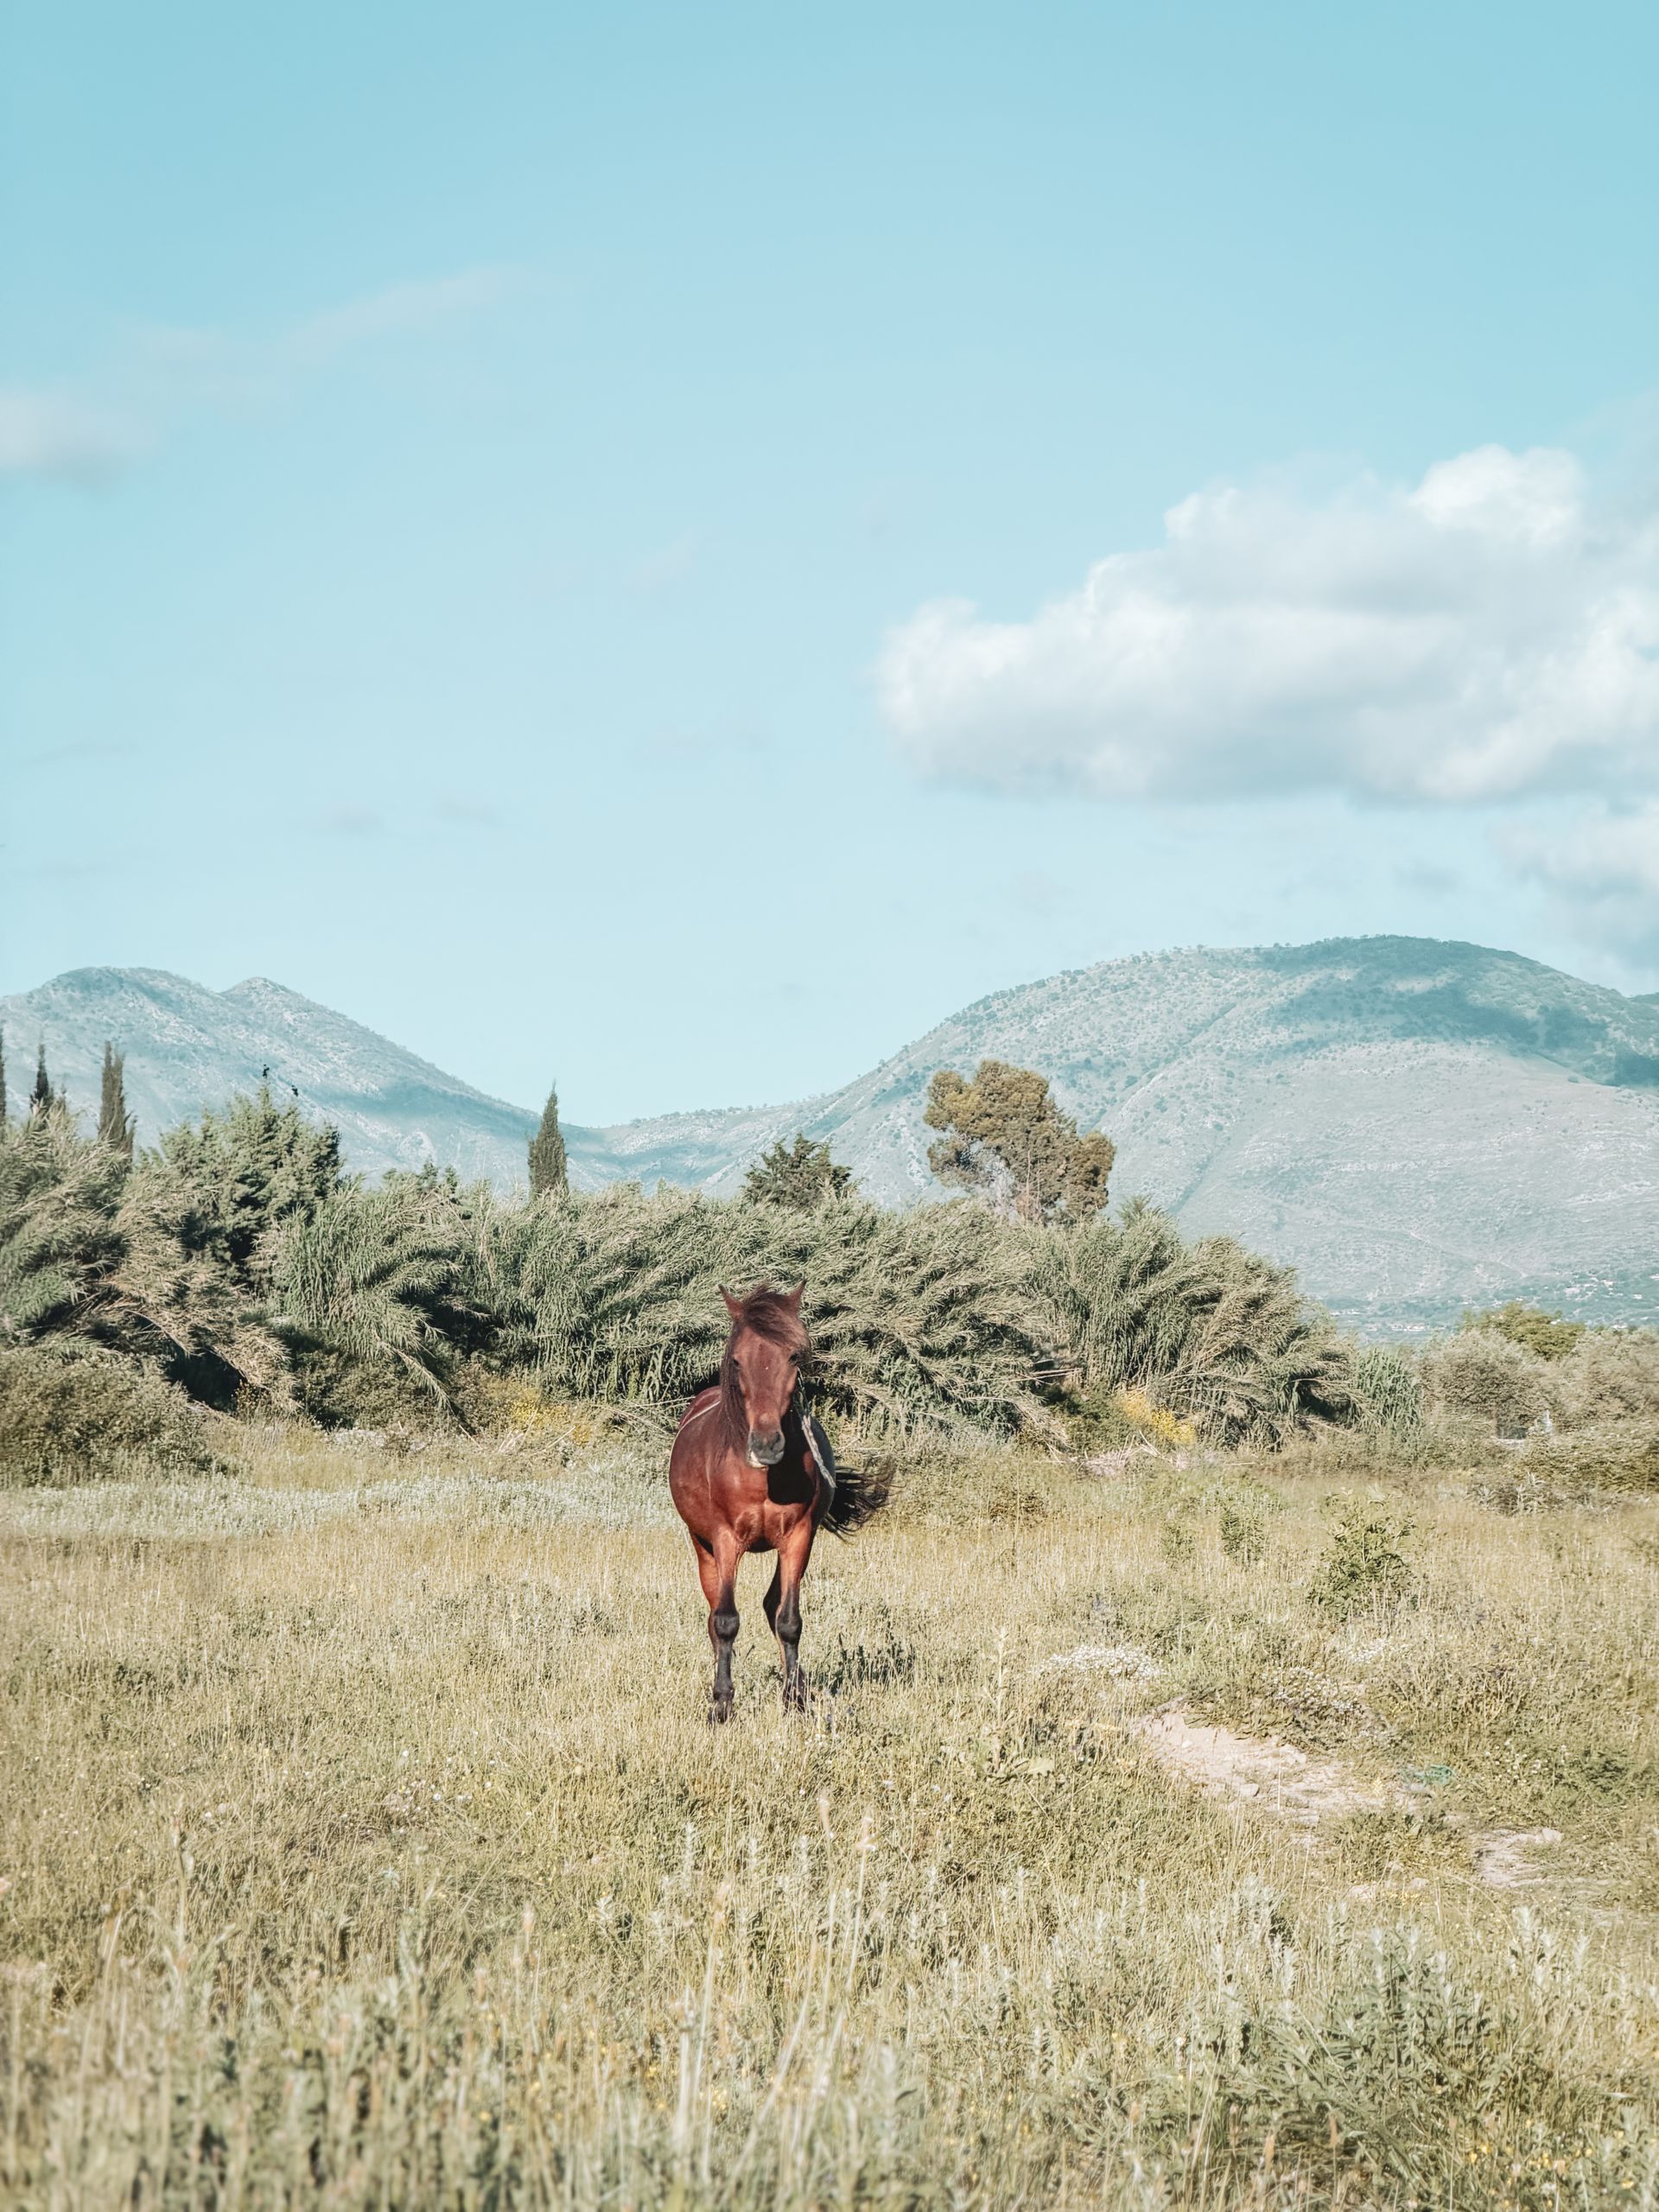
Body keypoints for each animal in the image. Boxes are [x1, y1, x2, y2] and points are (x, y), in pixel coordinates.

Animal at [669, 1282, 865, 1722]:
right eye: (738, 1360)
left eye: (793, 1355)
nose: (766, 1444)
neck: (762, 1478)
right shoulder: (726, 1540)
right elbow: (726, 1621)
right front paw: (722, 1704)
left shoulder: (798, 1537)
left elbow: (788, 1620)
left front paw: (794, 1699)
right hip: (702, 1546)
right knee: (714, 1615)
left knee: (772, 1605)